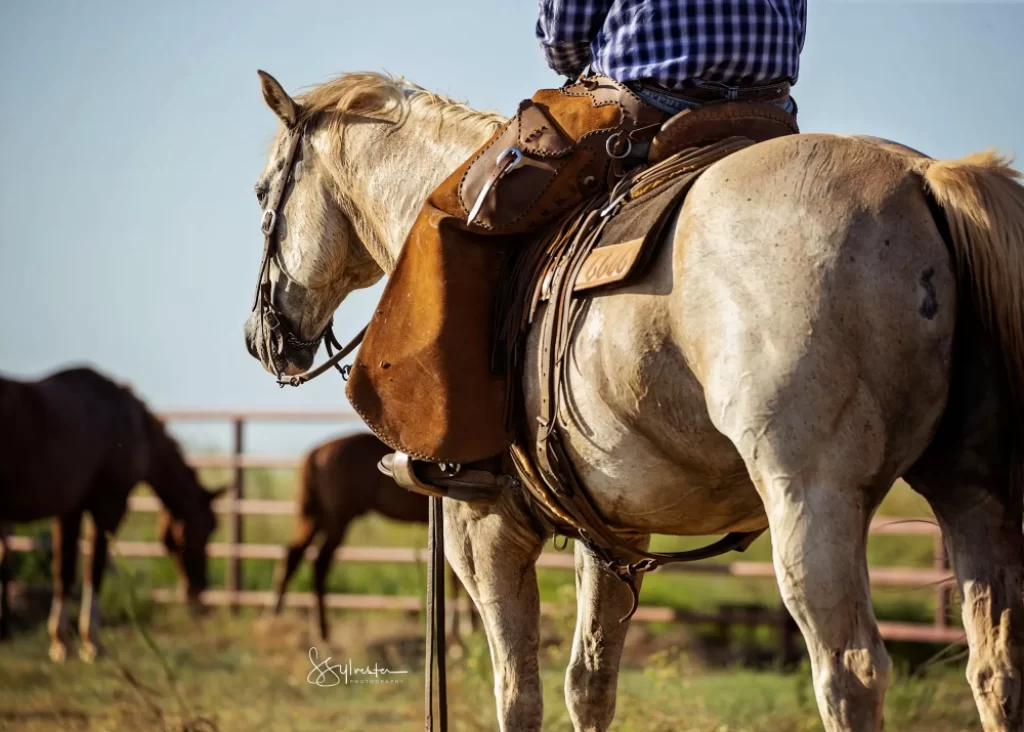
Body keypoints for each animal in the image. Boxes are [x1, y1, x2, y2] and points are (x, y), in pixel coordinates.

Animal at [0, 367, 221, 662]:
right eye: (208, 528)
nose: (198, 587)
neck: (136, 425)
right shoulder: (109, 505)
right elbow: (94, 569)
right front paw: (90, 642)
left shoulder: (69, 509)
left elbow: (64, 571)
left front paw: (60, 642)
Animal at [270, 431, 476, 643]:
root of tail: (316, 452)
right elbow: (458, 575)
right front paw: (461, 629)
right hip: (337, 520)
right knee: (319, 563)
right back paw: (318, 629)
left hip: (314, 518)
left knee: (293, 556)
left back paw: (280, 620)